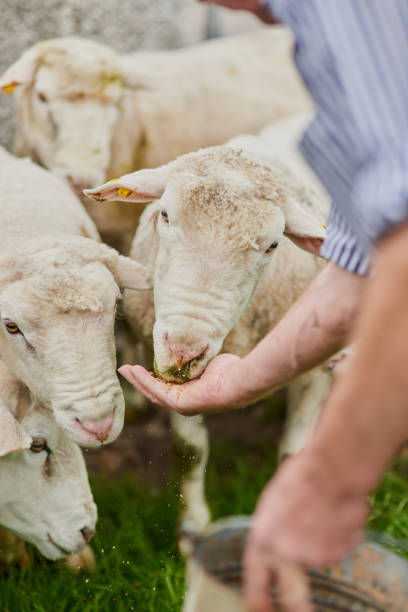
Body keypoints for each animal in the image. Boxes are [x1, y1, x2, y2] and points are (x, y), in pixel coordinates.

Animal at [85, 112, 332, 532]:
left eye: (273, 245)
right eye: (165, 215)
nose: (183, 351)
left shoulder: (313, 370)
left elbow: (293, 454)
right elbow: (190, 450)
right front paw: (193, 526)